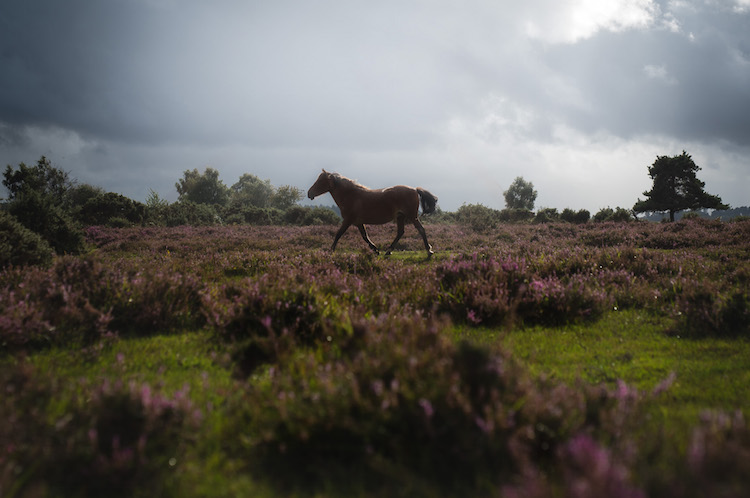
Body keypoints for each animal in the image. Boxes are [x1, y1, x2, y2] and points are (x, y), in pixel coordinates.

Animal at [306, 169, 438, 258]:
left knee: (421, 229)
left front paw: (330, 251)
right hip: (401, 217)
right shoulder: (358, 222)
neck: (351, 196)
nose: (309, 193)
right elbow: (365, 236)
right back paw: (388, 251)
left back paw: (429, 251)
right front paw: (375, 250)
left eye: (320, 181)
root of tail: (415, 189)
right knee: (400, 232)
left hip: (411, 216)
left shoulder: (348, 220)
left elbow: (338, 234)